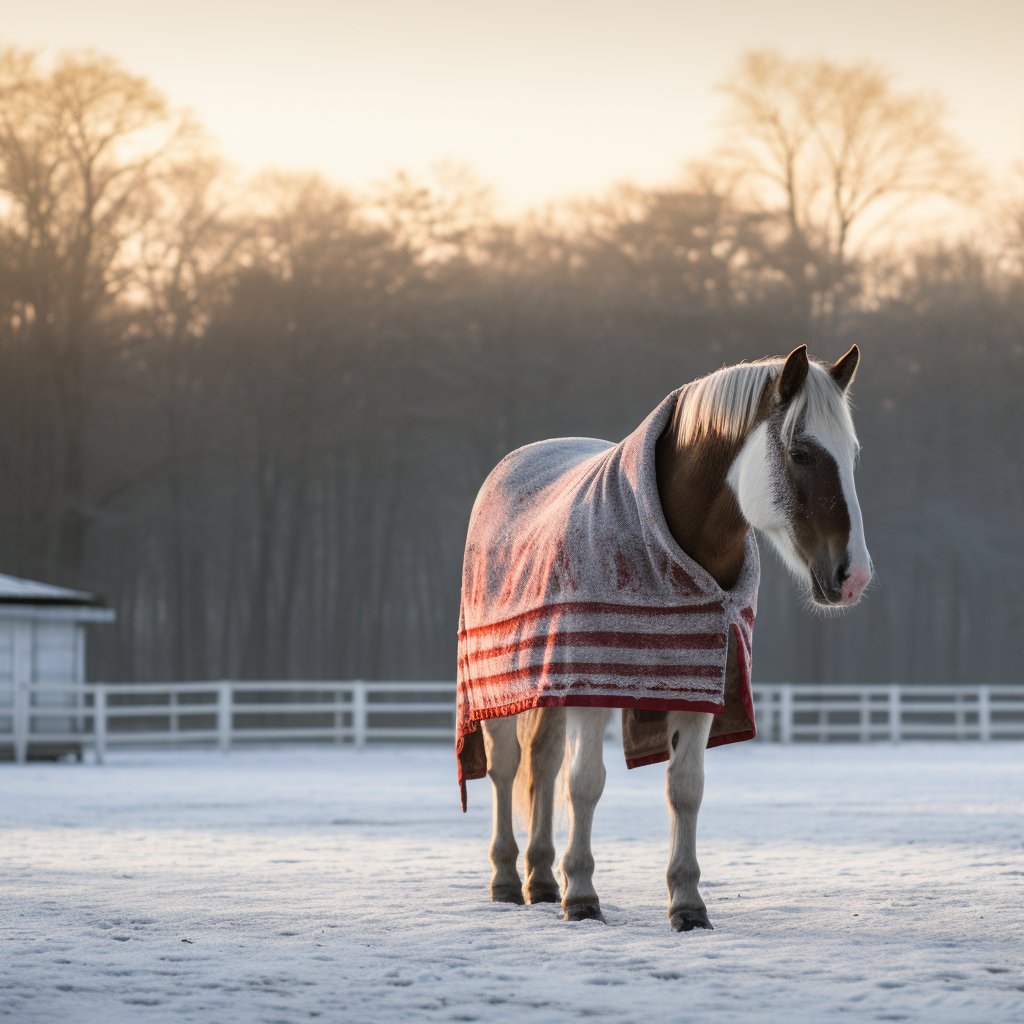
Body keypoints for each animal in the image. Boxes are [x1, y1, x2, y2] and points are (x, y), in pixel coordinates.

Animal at [456, 345, 871, 930]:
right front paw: (582, 895)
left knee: (543, 763)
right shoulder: (592, 685)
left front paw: (688, 903)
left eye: (850, 454)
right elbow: (585, 784)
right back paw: (508, 880)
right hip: (501, 685)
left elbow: (685, 789)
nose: (853, 576)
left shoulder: (698, 682)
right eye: (801, 452)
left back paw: (540, 879)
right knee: (508, 767)